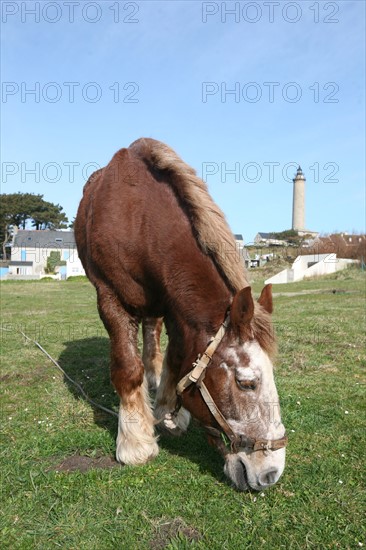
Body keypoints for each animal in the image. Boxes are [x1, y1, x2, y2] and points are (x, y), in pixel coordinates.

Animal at [74, 138, 288, 492]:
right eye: (247, 383)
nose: (271, 474)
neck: (139, 218)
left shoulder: (176, 307)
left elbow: (176, 361)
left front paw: (167, 412)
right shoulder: (109, 298)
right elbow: (127, 368)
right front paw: (136, 441)